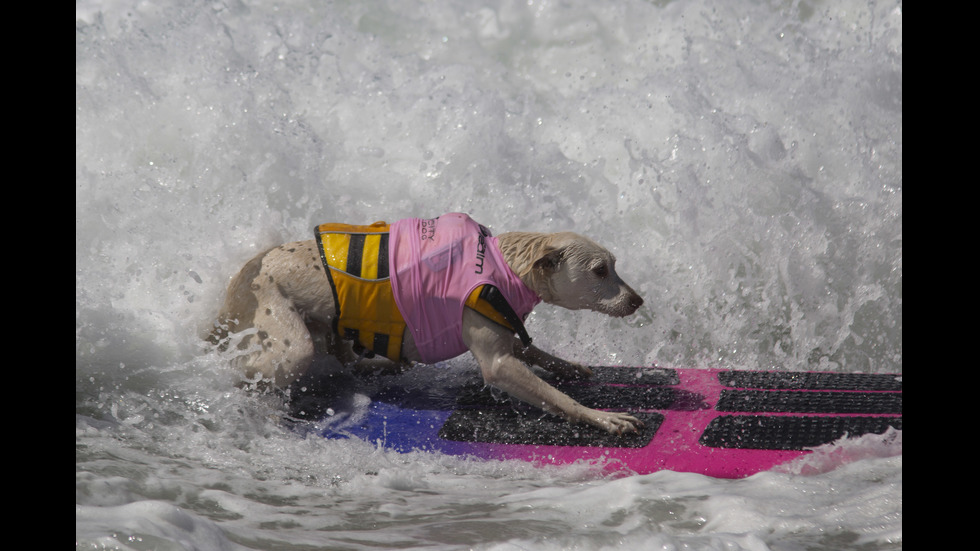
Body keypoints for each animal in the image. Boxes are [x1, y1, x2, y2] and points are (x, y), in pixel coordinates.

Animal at [209, 213, 644, 434]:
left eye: (615, 265)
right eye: (600, 270)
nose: (637, 300)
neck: (506, 267)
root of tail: (236, 283)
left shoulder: (505, 327)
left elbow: (532, 350)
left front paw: (569, 366)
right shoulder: (498, 362)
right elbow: (553, 396)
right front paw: (601, 417)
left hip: (326, 326)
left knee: (344, 354)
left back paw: (382, 364)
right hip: (286, 335)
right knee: (265, 365)